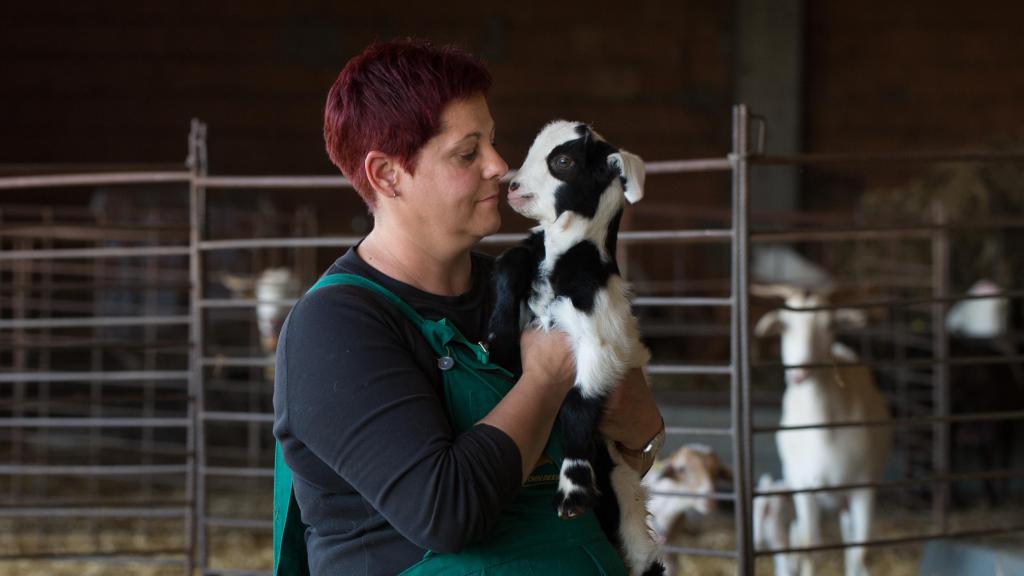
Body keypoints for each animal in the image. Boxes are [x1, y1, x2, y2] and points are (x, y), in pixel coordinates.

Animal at [757, 284, 892, 573]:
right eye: (785, 324)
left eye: (830, 324)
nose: (800, 371)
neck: (823, 434)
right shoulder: (804, 489)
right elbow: (810, 550)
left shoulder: (863, 488)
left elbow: (860, 553)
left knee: (850, 542)